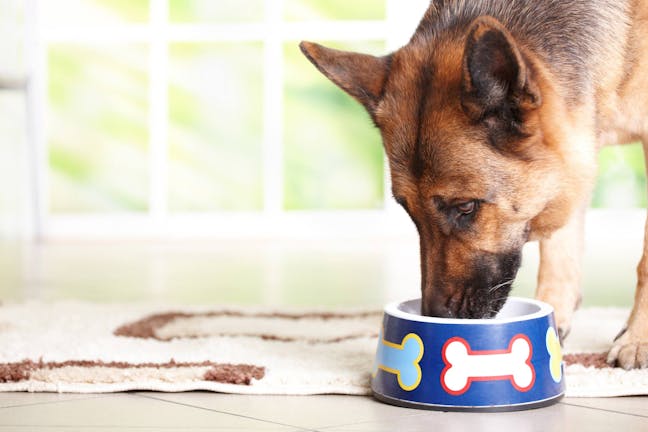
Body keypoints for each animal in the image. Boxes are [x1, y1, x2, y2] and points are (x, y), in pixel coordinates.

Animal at [298, 0, 648, 372]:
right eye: (408, 210)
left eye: (465, 207)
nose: (435, 316)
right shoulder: (573, 147)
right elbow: (559, 250)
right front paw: (554, 320)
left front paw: (638, 339)